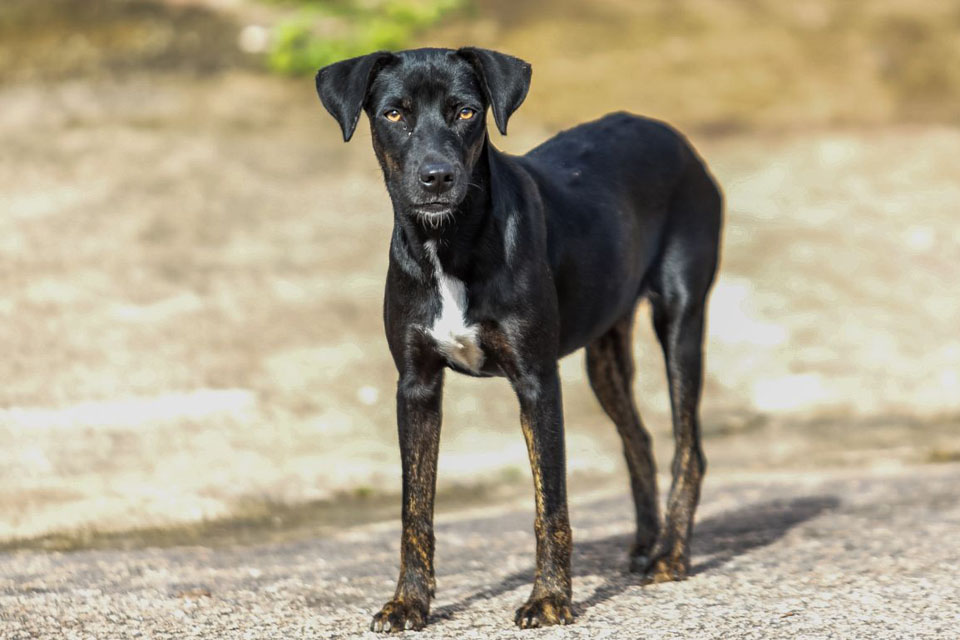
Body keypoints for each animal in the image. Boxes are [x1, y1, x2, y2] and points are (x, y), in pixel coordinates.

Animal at [316, 48, 720, 632]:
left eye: (465, 112)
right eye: (394, 113)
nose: (437, 178)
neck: (449, 243)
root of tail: (670, 133)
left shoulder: (536, 380)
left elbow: (549, 503)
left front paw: (550, 598)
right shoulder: (416, 386)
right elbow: (416, 508)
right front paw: (408, 603)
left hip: (681, 318)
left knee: (689, 447)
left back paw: (671, 554)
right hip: (605, 349)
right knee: (639, 440)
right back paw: (647, 544)